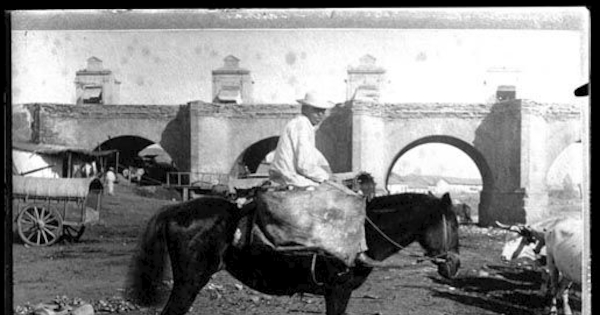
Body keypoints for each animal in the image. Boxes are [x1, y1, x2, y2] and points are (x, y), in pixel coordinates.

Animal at [127, 190, 460, 315]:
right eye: (454, 223)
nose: (454, 265)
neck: (360, 233)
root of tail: (176, 210)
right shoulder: (338, 290)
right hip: (189, 282)